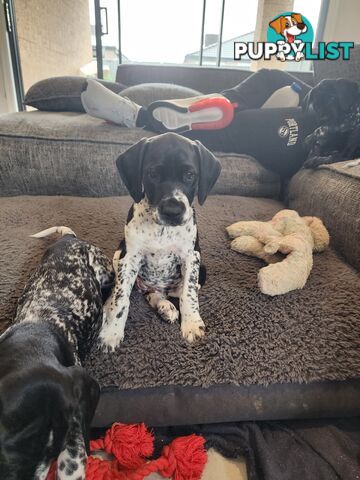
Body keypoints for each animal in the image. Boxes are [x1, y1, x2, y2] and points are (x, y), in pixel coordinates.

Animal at [100, 133, 221, 350]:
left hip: (202, 269)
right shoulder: (129, 259)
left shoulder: (192, 257)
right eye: (153, 174)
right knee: (137, 291)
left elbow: (189, 293)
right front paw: (111, 332)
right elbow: (121, 298)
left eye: (190, 175)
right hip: (118, 254)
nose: (173, 211)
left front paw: (191, 323)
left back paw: (167, 306)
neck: (162, 230)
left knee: (170, 292)